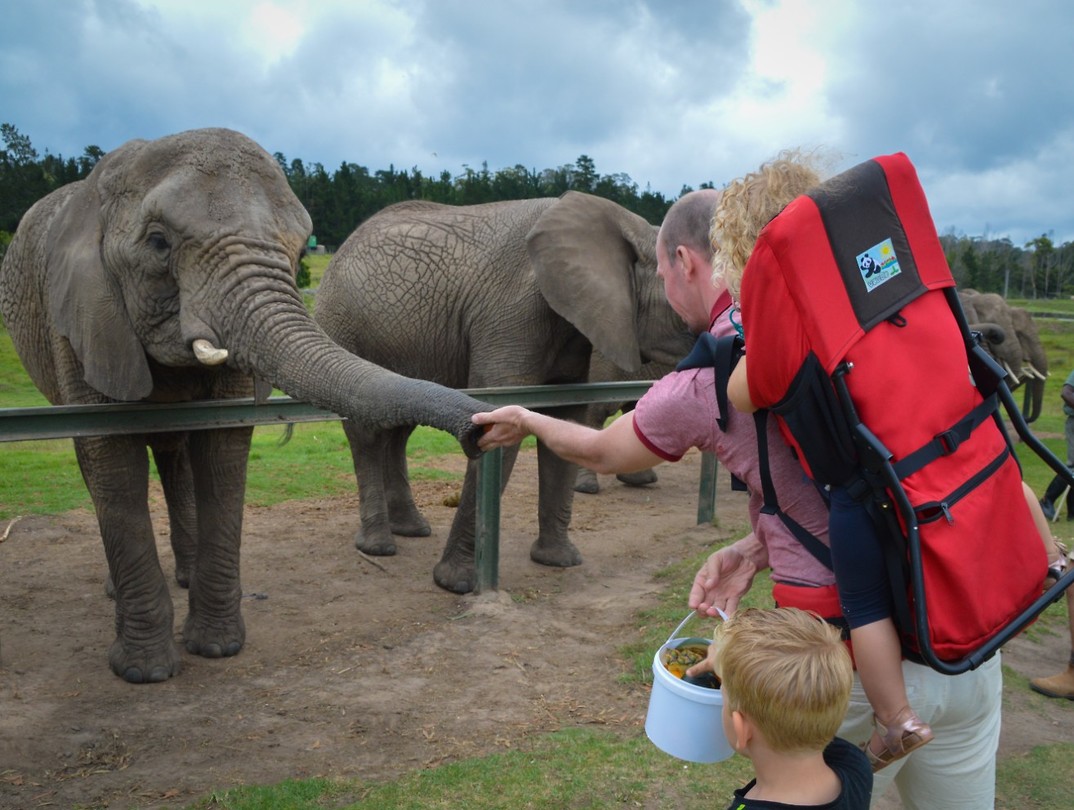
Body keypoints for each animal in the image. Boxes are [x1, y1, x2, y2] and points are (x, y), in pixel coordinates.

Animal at [0, 128, 489, 683]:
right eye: (158, 242)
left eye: (299, 246)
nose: (479, 432)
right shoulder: (80, 317)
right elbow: (111, 458)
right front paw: (144, 673)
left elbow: (223, 447)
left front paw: (217, 648)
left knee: (175, 453)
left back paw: (185, 574)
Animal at [313, 191, 694, 593]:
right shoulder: (513, 313)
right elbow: (501, 422)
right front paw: (456, 585)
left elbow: (565, 418)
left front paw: (559, 561)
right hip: (344, 326)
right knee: (367, 431)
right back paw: (378, 546)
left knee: (398, 427)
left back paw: (412, 529)